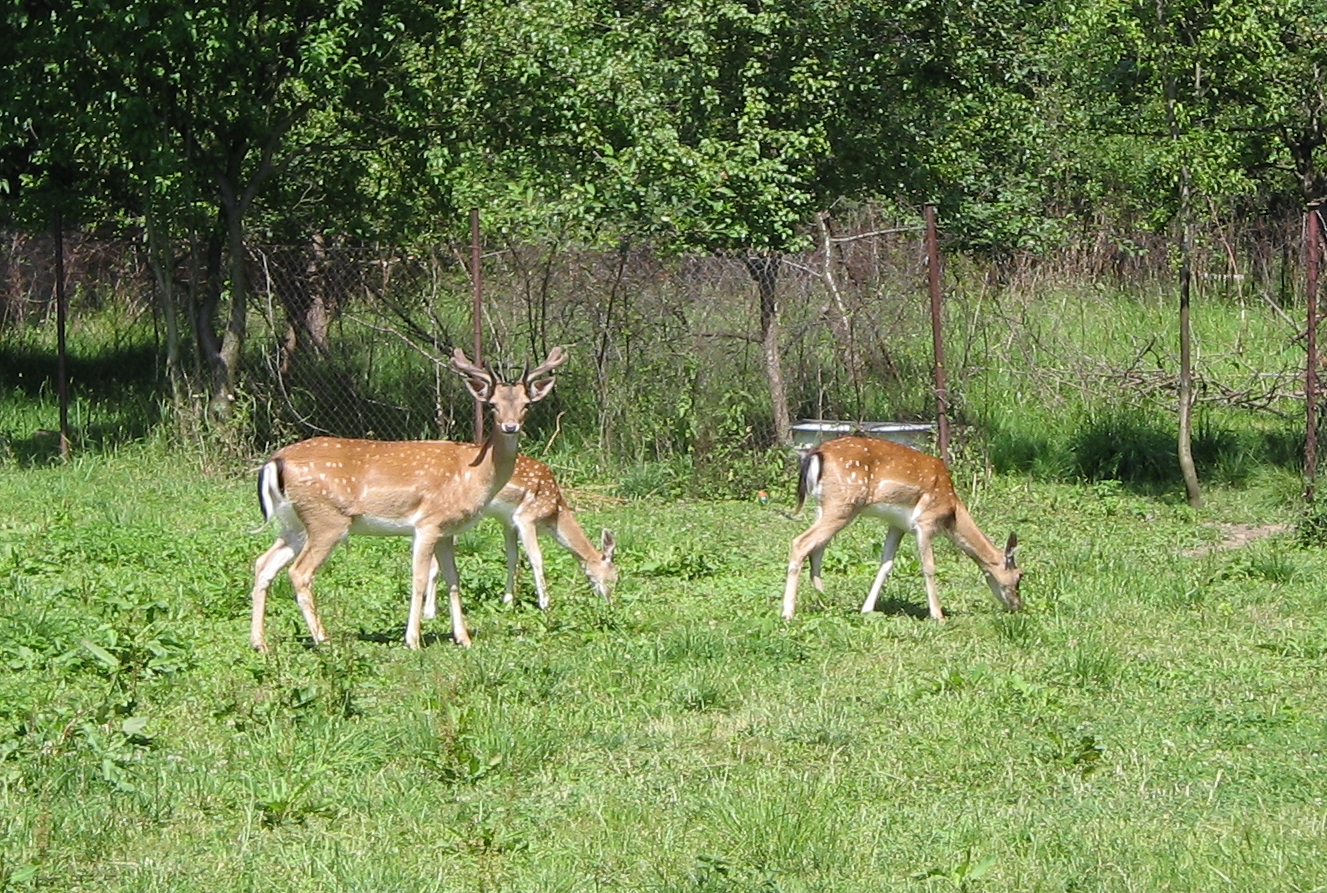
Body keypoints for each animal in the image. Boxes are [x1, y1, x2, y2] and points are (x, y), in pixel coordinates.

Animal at [249, 347, 565, 647]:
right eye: (492, 405)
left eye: (526, 404)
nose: (510, 426)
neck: (472, 475)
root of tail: (275, 461)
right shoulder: (428, 523)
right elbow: (419, 579)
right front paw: (413, 639)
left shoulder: (447, 531)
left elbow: (453, 580)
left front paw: (463, 638)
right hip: (327, 520)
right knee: (299, 572)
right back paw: (323, 640)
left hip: (295, 523)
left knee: (263, 564)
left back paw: (259, 643)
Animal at [421, 453, 618, 613]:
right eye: (614, 577)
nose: (609, 602)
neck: (554, 514)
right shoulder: (526, 517)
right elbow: (536, 557)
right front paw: (545, 604)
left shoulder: (509, 523)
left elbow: (512, 557)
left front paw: (508, 601)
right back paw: (430, 610)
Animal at [780, 432, 1019, 620]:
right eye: (1019, 576)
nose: (1018, 605)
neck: (952, 512)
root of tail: (816, 453)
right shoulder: (925, 521)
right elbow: (929, 566)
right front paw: (938, 615)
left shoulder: (897, 525)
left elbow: (886, 564)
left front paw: (867, 609)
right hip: (842, 504)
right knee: (801, 542)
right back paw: (788, 612)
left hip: (824, 506)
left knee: (817, 548)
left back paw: (824, 601)